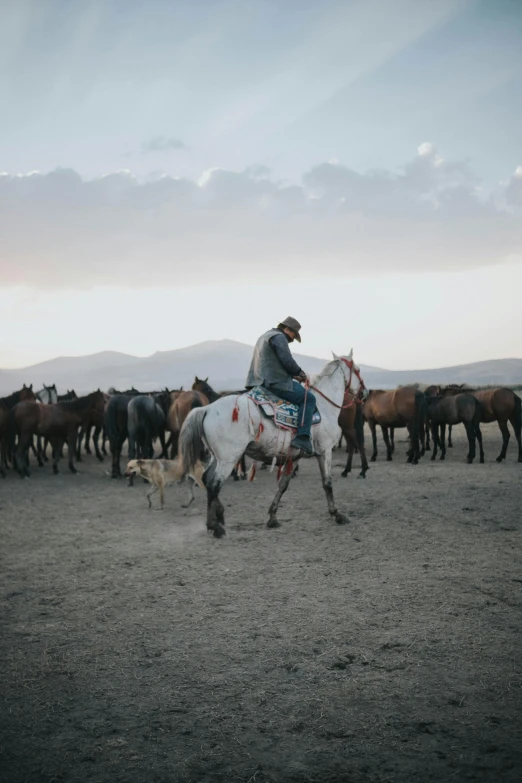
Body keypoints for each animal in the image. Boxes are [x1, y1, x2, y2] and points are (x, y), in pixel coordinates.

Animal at [181, 350, 364, 540]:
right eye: (358, 370)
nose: (363, 393)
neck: (324, 406)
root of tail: (207, 409)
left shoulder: (295, 457)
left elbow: (283, 485)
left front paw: (272, 517)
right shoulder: (325, 451)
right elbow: (327, 483)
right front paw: (337, 515)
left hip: (217, 457)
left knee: (205, 479)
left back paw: (218, 518)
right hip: (228, 459)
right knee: (214, 485)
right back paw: (215, 526)